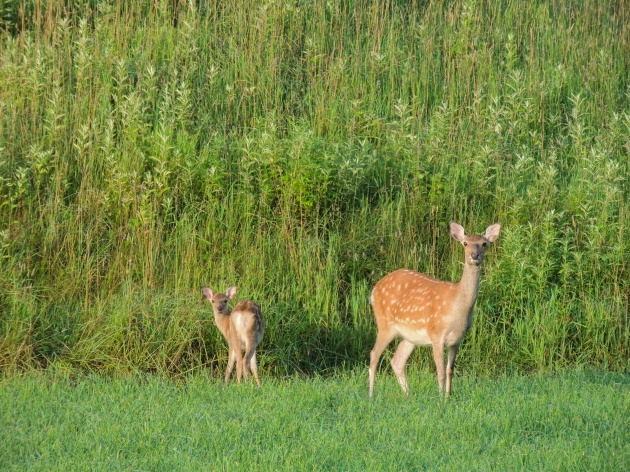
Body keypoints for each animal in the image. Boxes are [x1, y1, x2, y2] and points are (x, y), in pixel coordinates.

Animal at [368, 222, 502, 398]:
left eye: (484, 243)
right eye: (465, 243)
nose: (475, 255)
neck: (457, 308)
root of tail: (374, 290)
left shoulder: (457, 339)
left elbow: (450, 370)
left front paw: (448, 397)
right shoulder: (436, 333)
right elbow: (440, 372)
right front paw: (440, 399)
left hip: (409, 335)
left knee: (397, 360)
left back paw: (409, 396)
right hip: (385, 324)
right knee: (374, 354)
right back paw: (371, 395)